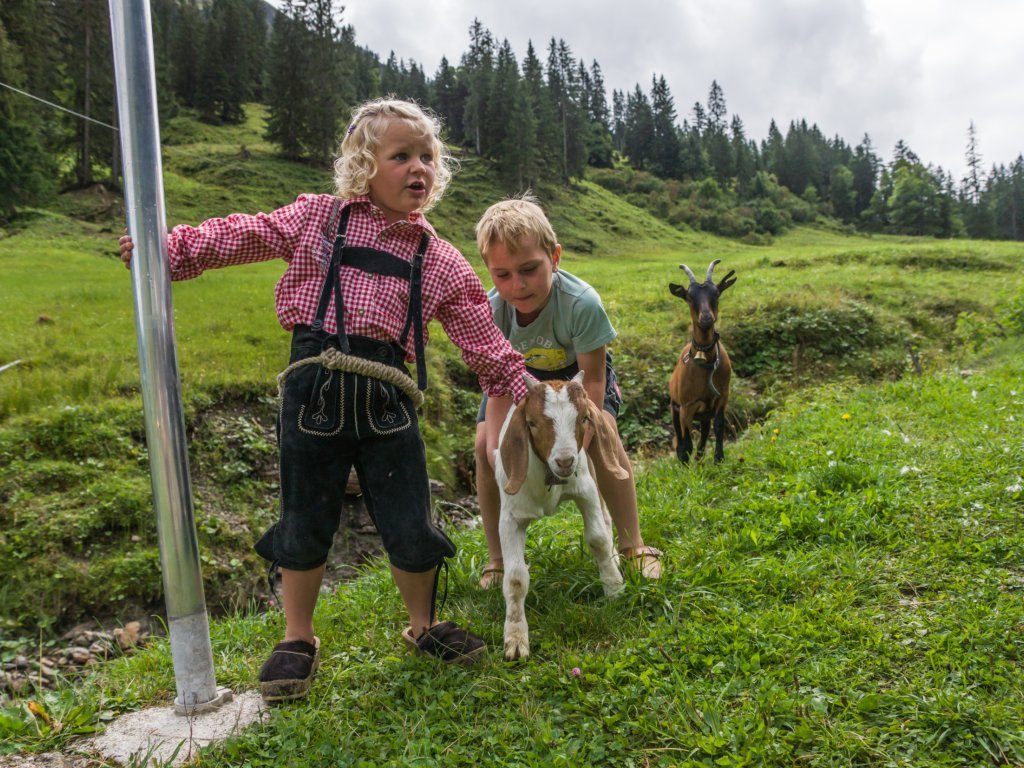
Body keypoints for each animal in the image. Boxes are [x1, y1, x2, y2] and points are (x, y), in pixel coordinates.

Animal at [667, 262, 733, 462]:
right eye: (689, 297)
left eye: (716, 293)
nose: (706, 317)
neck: (705, 364)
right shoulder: (686, 406)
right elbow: (686, 442)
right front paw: (685, 462)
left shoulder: (721, 397)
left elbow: (718, 426)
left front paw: (719, 458)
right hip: (675, 407)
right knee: (680, 438)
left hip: (704, 414)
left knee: (703, 435)